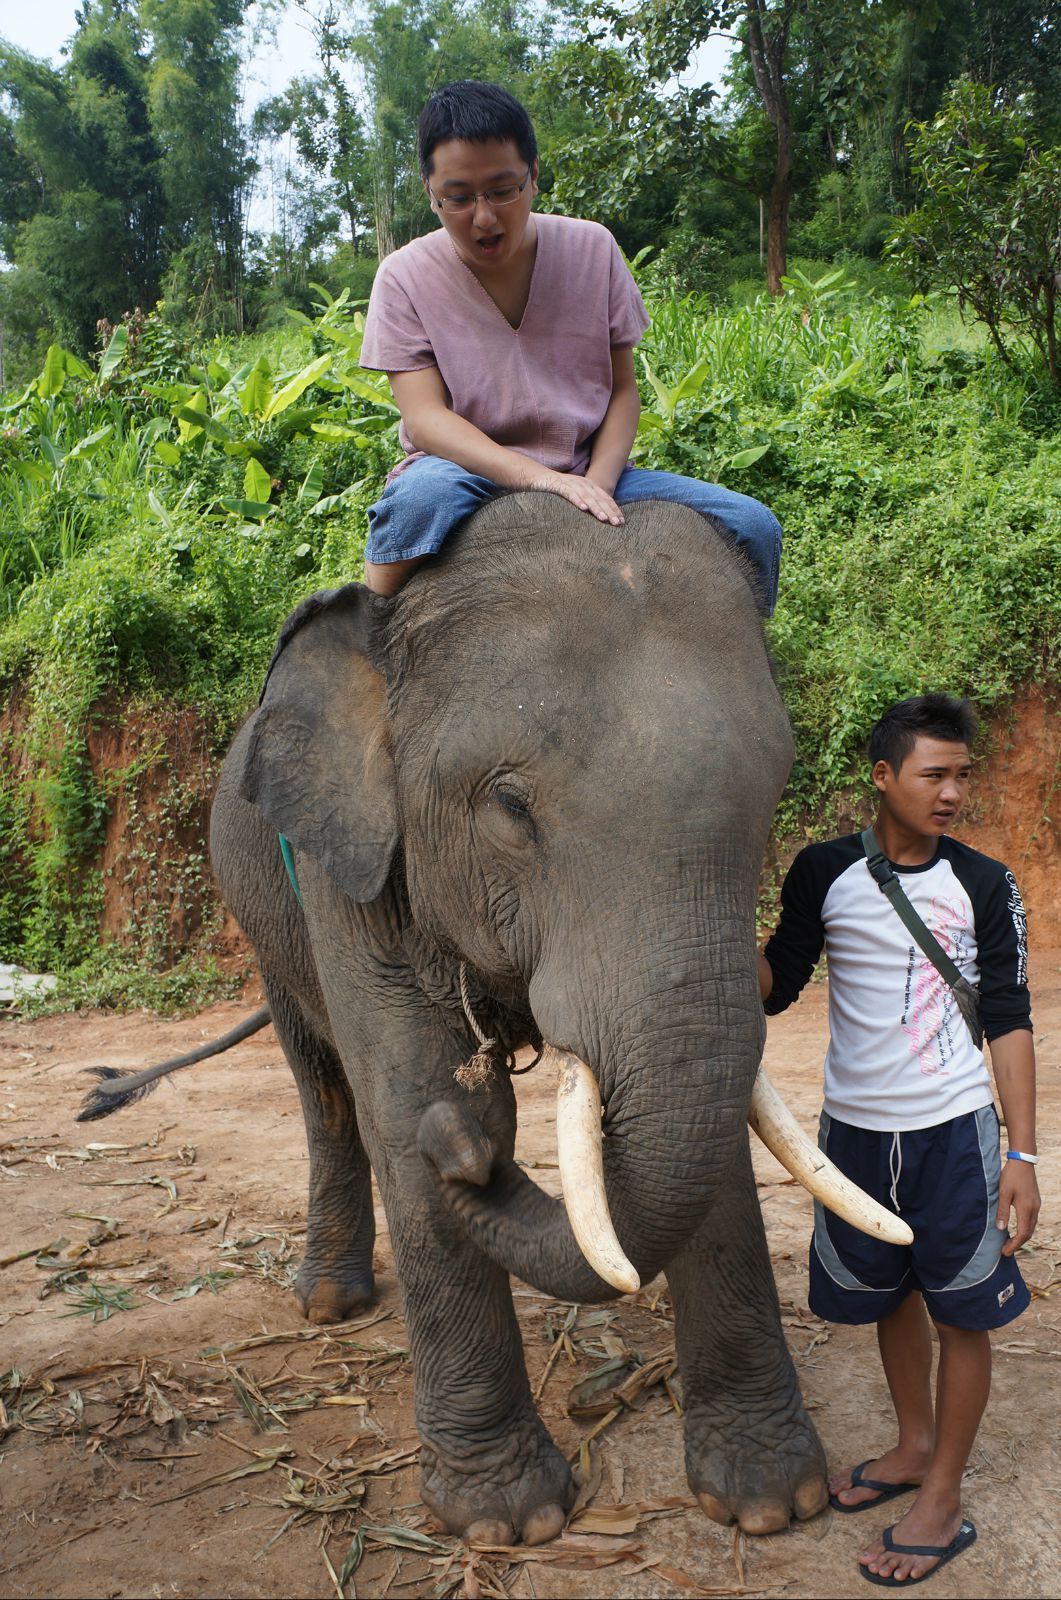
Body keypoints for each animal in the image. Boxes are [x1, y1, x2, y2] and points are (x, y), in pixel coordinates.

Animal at [196, 492, 889, 1542]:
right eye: (510, 807)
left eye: (773, 793)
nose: (464, 1153)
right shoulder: (343, 871)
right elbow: (402, 1098)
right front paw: (505, 1524)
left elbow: (709, 1130)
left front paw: (771, 1502)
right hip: (262, 915)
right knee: (324, 1087)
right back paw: (332, 1300)